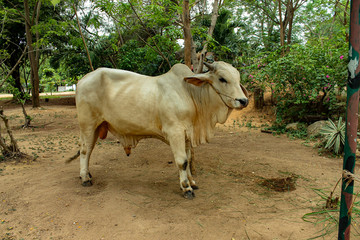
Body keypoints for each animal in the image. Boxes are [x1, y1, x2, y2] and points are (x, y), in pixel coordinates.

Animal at [69, 61, 249, 199]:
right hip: (88, 124)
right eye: (222, 79)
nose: (244, 101)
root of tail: (82, 80)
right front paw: (186, 187)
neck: (190, 94)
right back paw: (85, 178)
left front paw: (192, 182)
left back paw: (87, 174)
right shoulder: (175, 132)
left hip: (97, 126)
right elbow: (182, 161)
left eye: (238, 78)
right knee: (85, 150)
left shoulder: (186, 135)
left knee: (88, 150)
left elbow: (189, 159)